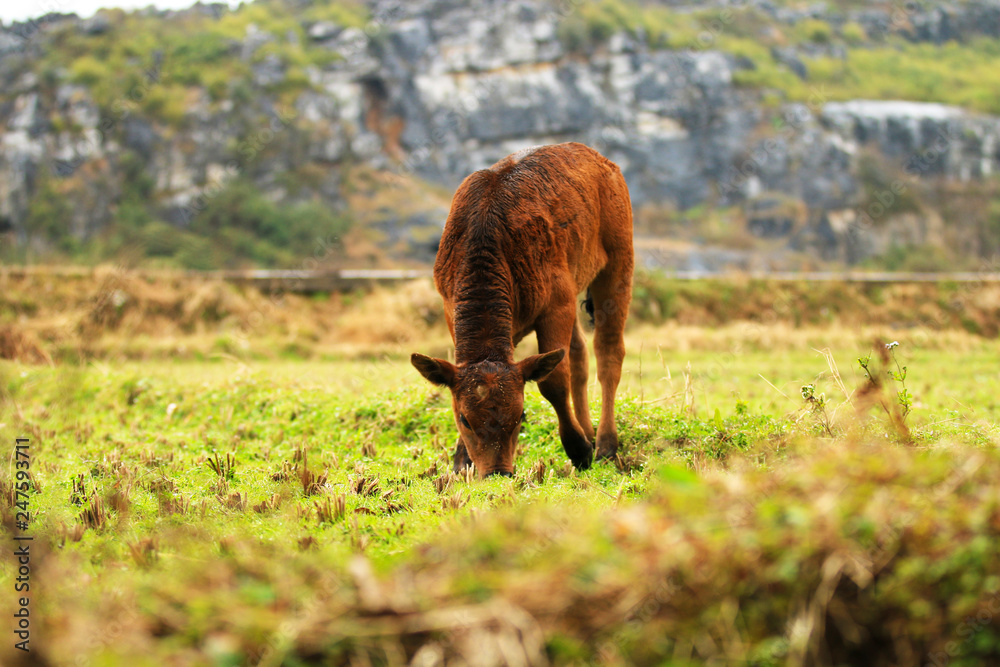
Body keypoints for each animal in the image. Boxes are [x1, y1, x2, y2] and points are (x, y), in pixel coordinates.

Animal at [412, 141, 632, 478]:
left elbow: (554, 381)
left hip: (618, 262)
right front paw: (462, 460)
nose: (497, 471)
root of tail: (598, 157)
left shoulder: (557, 305)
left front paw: (578, 449)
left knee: (608, 352)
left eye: (520, 415)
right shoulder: (451, 308)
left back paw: (606, 444)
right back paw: (589, 431)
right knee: (579, 353)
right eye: (464, 420)